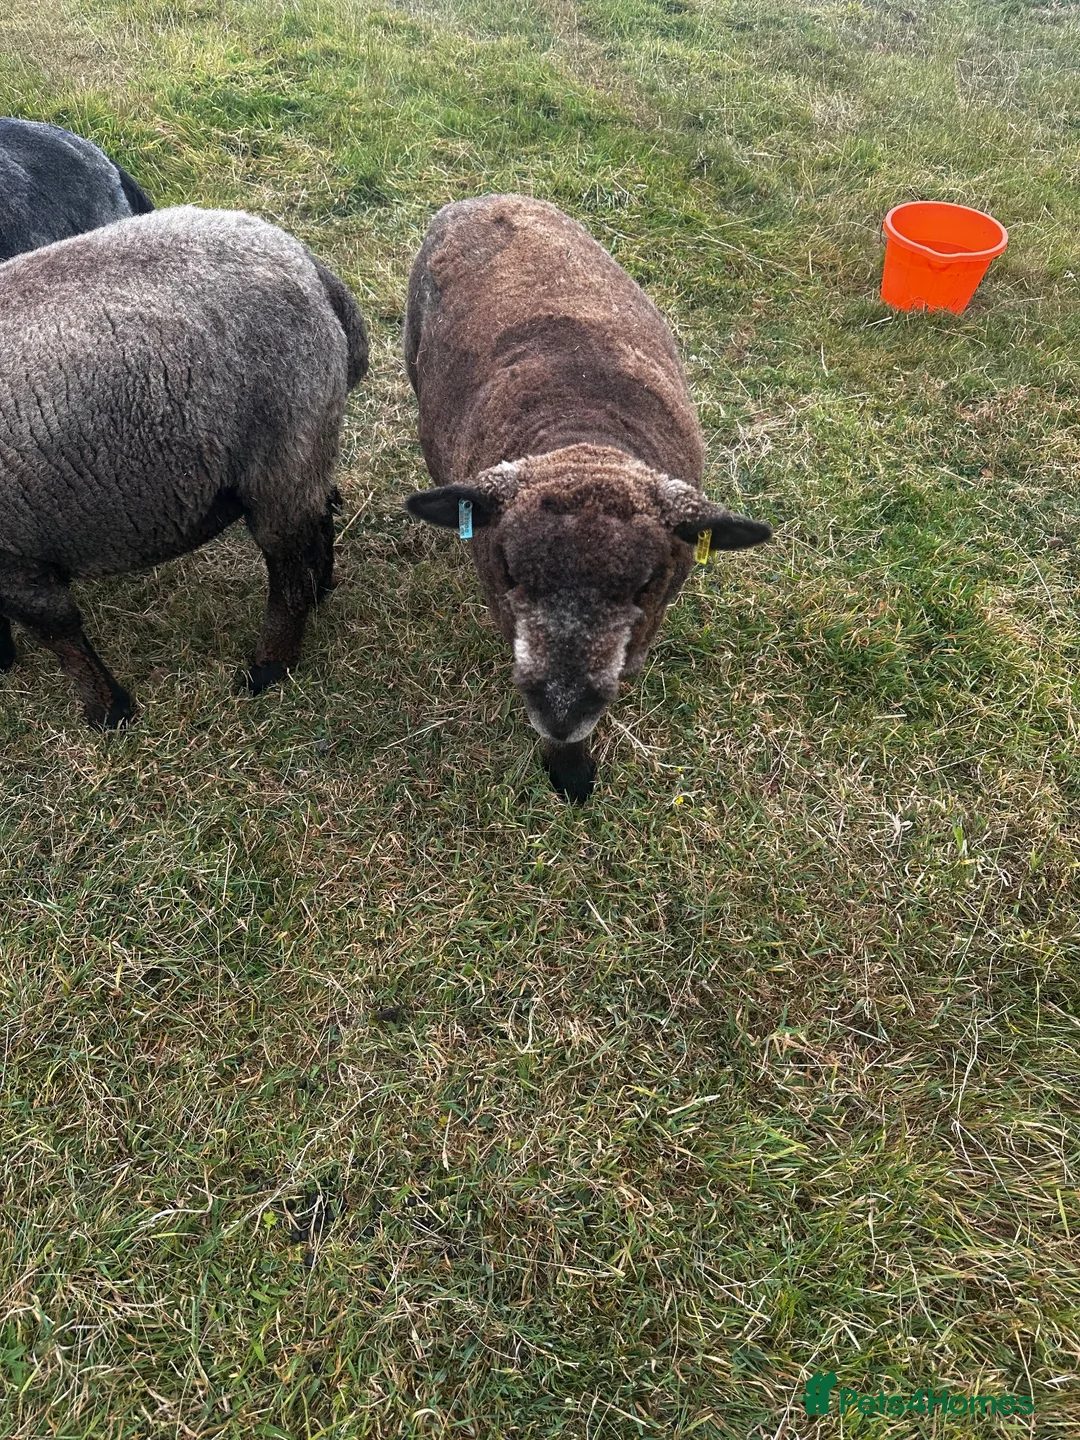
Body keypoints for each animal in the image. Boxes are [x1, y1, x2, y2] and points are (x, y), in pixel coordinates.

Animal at [0, 205, 369, 728]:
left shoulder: (15, 558)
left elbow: (60, 633)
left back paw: (268, 669)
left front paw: (109, 712)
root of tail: (305, 263)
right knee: (318, 517)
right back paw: (319, 593)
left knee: (289, 571)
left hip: (281, 456)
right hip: (304, 451)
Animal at [404, 194, 771, 802]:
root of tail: (483, 198)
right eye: (509, 571)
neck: (583, 437)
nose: (562, 712)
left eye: (646, 582)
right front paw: (571, 774)